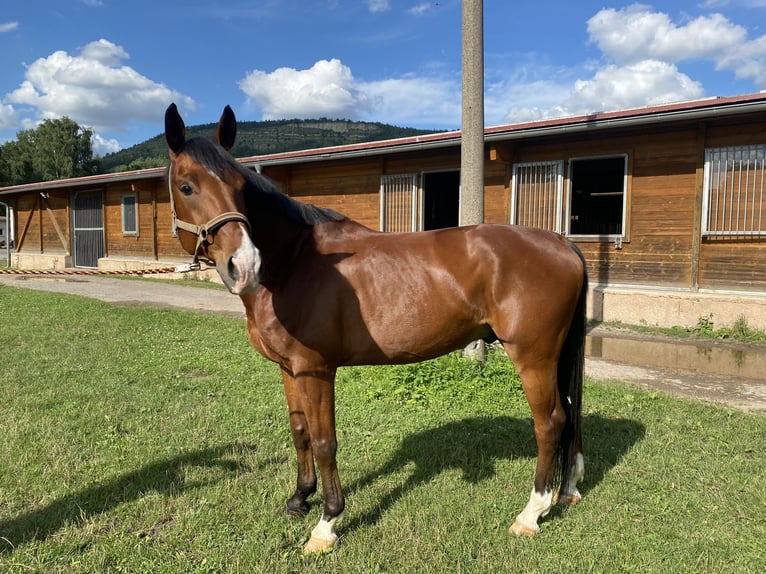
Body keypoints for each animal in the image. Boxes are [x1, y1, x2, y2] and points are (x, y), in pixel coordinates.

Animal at [164, 103, 588, 554]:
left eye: (241, 187)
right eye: (186, 186)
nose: (244, 265)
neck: (295, 260)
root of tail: (561, 242)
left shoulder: (315, 370)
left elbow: (324, 441)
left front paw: (326, 523)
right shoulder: (288, 368)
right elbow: (299, 432)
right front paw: (298, 499)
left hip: (533, 356)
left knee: (550, 422)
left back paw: (531, 514)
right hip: (556, 356)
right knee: (569, 416)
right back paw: (567, 491)